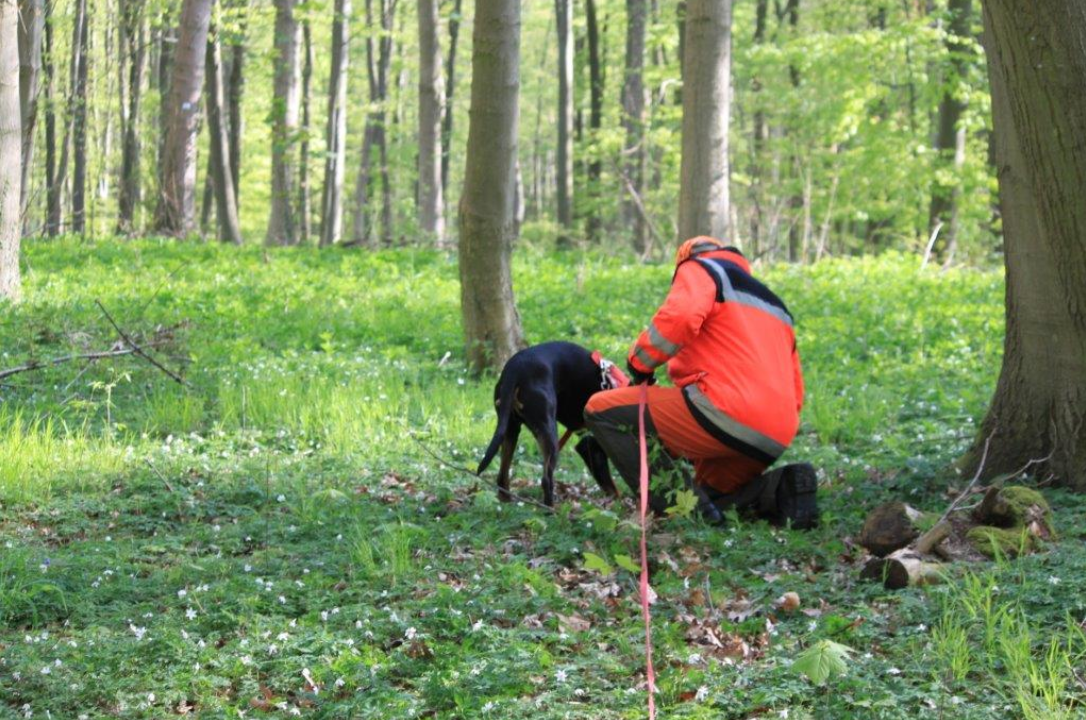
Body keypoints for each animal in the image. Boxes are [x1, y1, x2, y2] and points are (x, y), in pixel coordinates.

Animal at [473, 343, 621, 506]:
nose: (616, 498)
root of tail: (515, 368)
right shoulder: (592, 444)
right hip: (549, 432)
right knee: (546, 479)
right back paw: (550, 508)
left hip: (510, 429)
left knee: (502, 476)